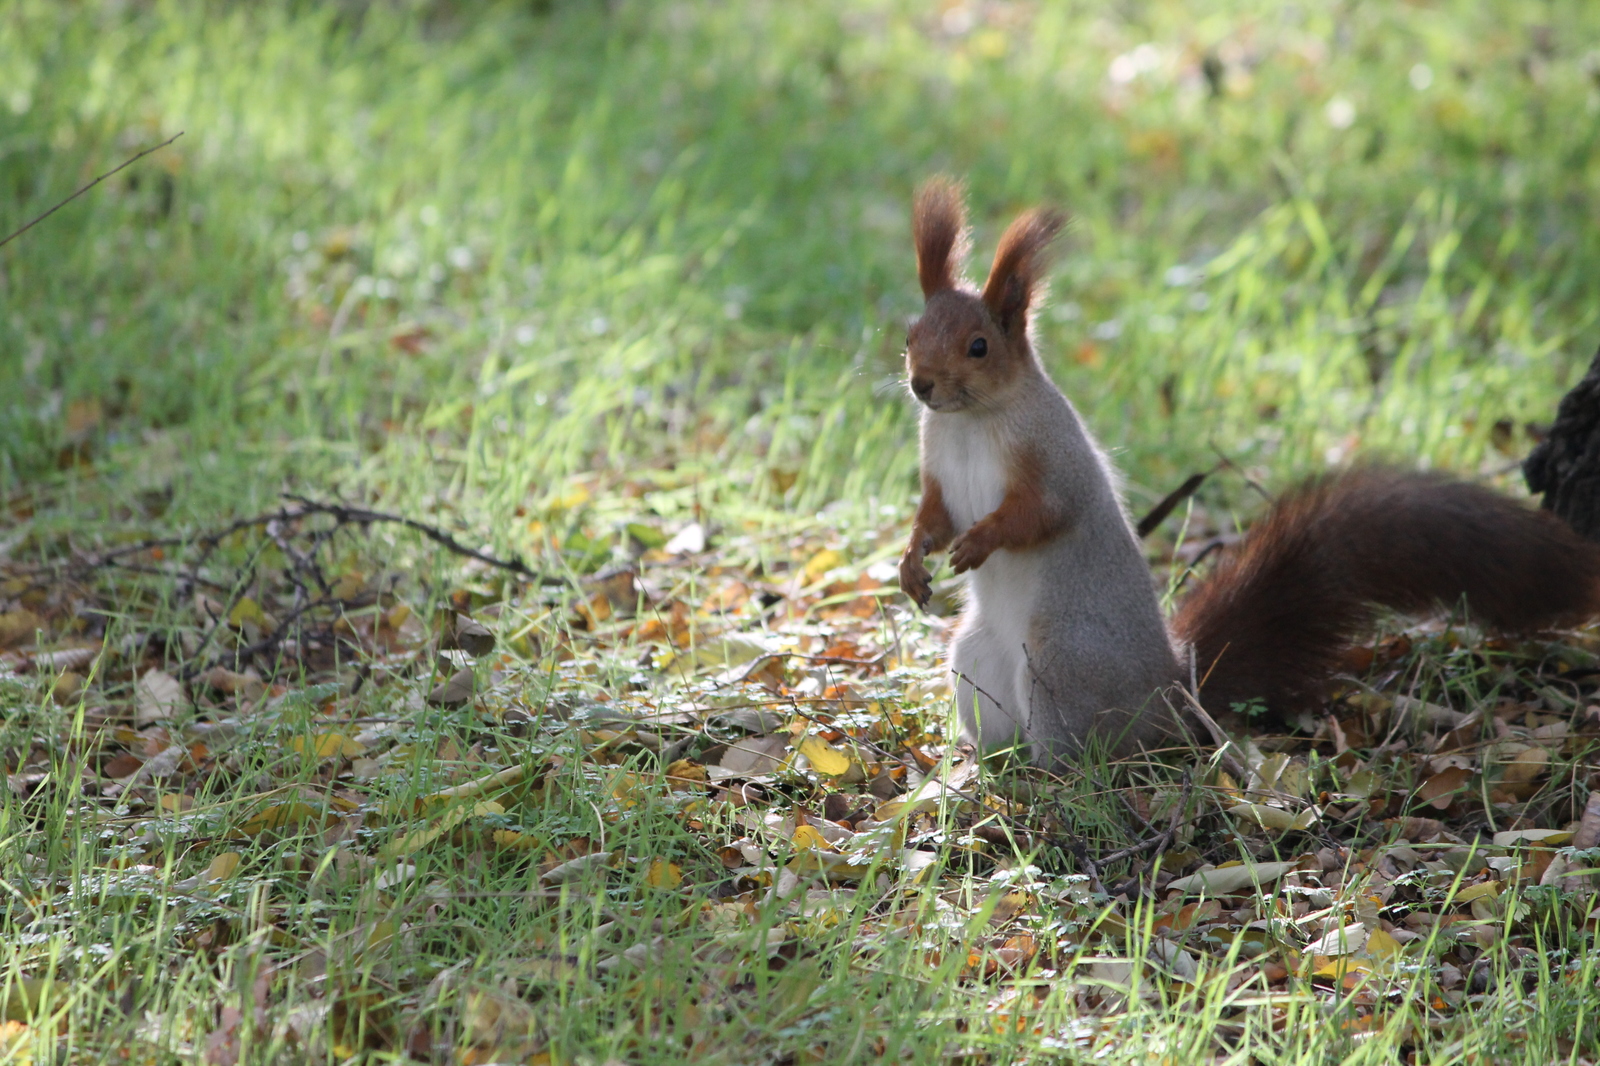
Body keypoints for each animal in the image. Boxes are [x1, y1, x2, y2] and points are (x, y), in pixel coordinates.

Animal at [896, 176, 1600, 755]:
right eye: (908, 335)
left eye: (979, 347)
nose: (922, 386)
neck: (971, 422)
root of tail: (1171, 694)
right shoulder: (937, 462)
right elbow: (934, 510)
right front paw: (912, 561)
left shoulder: (1052, 455)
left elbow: (1040, 513)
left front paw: (978, 542)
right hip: (976, 661)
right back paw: (983, 768)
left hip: (1060, 666)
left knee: (1087, 753)